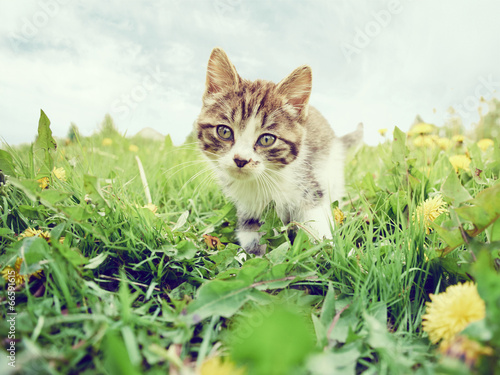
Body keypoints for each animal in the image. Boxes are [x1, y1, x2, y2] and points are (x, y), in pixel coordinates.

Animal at [193, 47, 362, 256]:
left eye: (267, 139)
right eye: (224, 131)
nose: (241, 160)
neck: (262, 182)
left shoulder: (309, 186)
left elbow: (318, 224)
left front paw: (334, 253)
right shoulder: (247, 208)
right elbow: (251, 234)